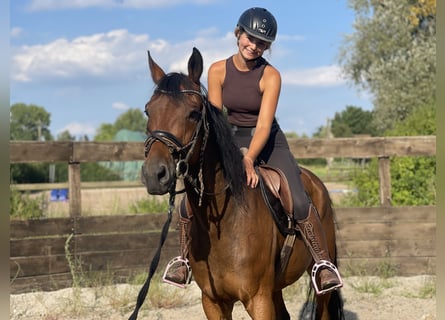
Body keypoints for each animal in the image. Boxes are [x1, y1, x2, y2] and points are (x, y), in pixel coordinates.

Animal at [141, 48, 344, 320]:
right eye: (148, 111)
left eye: (193, 113)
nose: (155, 174)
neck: (226, 220)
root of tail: (315, 181)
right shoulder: (213, 301)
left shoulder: (258, 299)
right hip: (275, 288)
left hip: (318, 281)